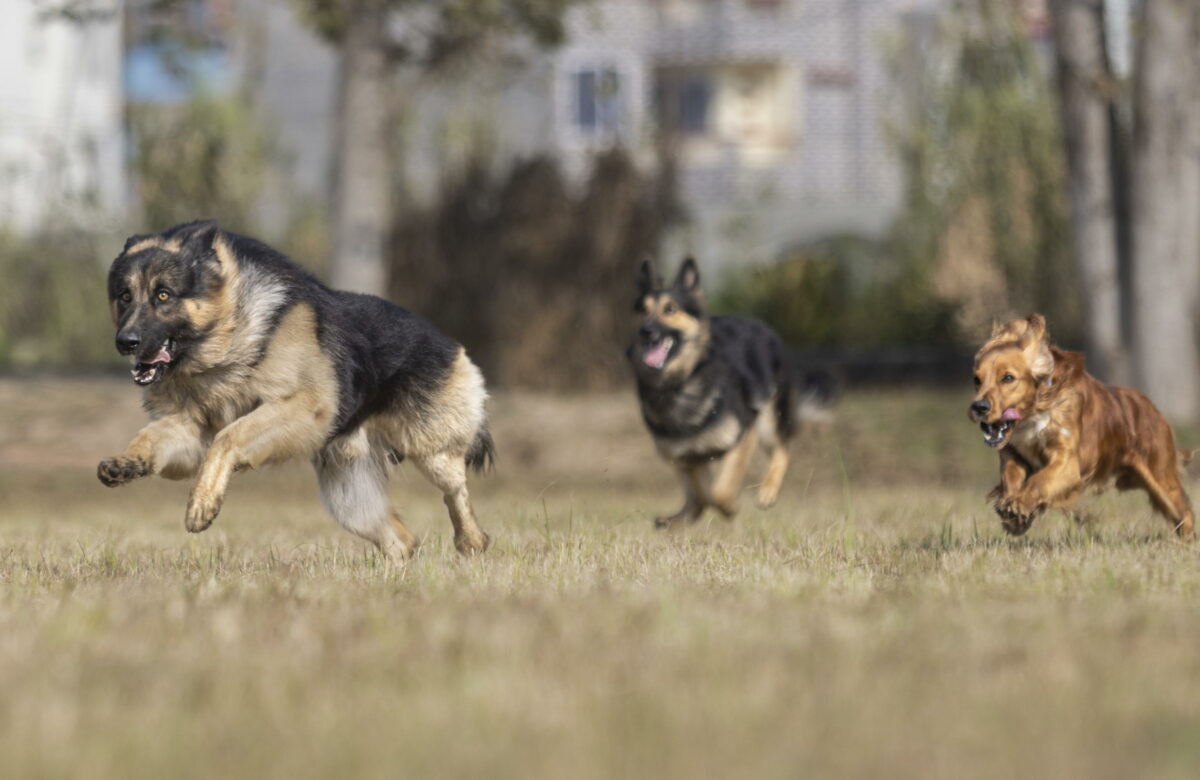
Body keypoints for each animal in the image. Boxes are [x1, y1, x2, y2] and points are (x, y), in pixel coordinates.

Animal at [96, 220, 494, 559]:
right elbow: (150, 438)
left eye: (163, 295)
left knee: (455, 491)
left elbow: (229, 437)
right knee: (402, 540)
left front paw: (201, 504)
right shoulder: (189, 430)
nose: (125, 343)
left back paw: (471, 541)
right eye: (125, 296)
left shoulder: (298, 407)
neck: (230, 333)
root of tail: (451, 344)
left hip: (429, 450)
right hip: (347, 497)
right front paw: (126, 462)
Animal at [628, 258, 835, 525]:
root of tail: (757, 324)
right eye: (642, 310)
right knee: (694, 497)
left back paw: (767, 492)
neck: (679, 383)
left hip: (767, 419)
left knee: (782, 451)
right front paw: (694, 511)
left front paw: (730, 508)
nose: (645, 331)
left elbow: (718, 492)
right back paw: (675, 519)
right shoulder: (683, 458)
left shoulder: (743, 437)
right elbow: (701, 493)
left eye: (670, 309)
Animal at [969, 312, 1195, 537]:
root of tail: (1151, 406)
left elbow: (1039, 480)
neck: (1035, 415)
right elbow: (1011, 476)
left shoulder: (1068, 464)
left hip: (1161, 476)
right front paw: (1013, 513)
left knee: (1184, 512)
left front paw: (1020, 504)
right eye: (976, 379)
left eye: (1008, 378)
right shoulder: (1012, 451)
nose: (978, 407)